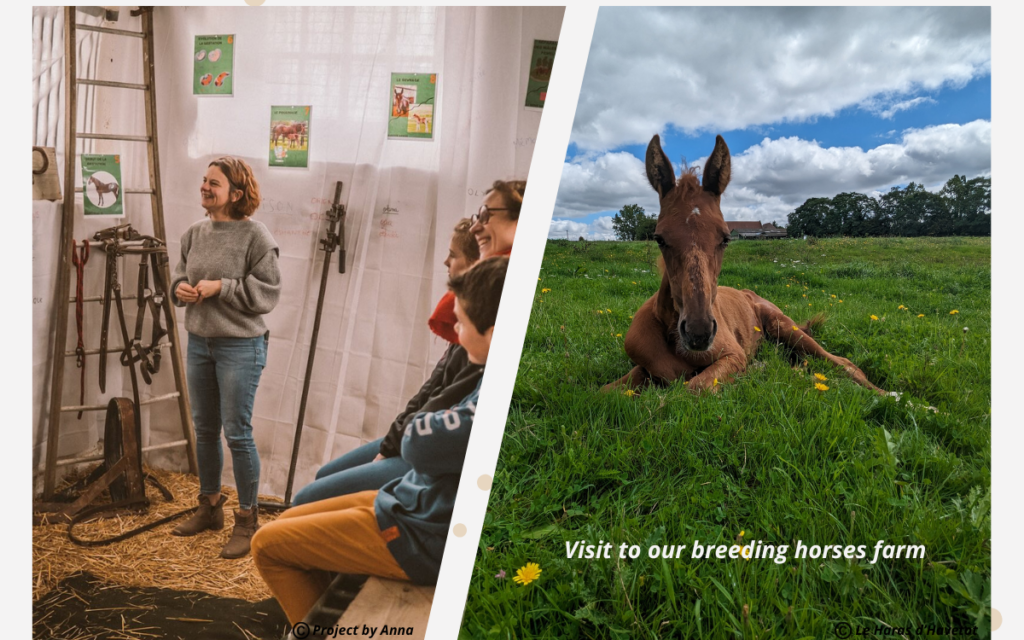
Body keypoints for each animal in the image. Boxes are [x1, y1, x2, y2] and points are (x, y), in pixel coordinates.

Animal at [602, 135, 884, 395]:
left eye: (725, 238)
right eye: (659, 238)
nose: (698, 333)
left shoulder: (732, 357)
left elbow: (688, 391)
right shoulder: (645, 369)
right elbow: (604, 392)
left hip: (785, 326)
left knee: (843, 363)